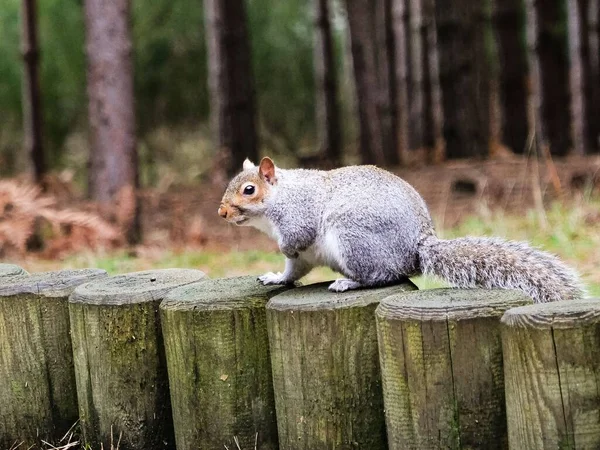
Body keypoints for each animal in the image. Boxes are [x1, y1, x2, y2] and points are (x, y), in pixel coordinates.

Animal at [218, 157, 584, 302]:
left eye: (249, 190)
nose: (221, 212)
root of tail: (416, 247)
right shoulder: (304, 258)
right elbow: (293, 271)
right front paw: (275, 277)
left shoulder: (299, 215)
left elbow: (297, 237)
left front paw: (281, 249)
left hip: (352, 237)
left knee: (383, 275)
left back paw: (349, 282)